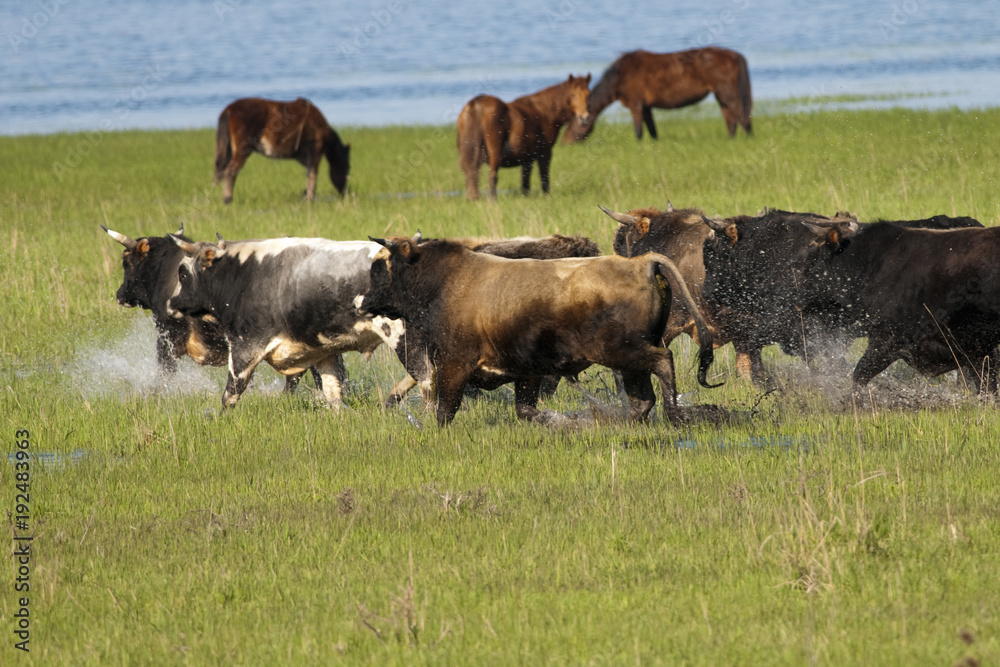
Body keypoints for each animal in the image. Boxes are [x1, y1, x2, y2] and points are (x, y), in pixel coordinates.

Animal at [168, 237, 402, 410]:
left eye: (183, 273)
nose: (171, 303)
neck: (240, 277)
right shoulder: (324, 352)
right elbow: (333, 392)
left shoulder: (245, 346)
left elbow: (231, 393)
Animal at [213, 97, 350, 204]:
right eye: (346, 167)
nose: (345, 192)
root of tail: (229, 109)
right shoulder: (315, 150)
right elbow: (312, 175)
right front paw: (310, 198)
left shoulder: (304, 156)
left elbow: (308, 173)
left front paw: (305, 195)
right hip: (242, 151)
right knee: (230, 172)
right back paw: (227, 199)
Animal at [460, 75, 592, 201]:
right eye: (572, 95)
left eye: (588, 94)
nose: (584, 118)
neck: (543, 112)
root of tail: (477, 103)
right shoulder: (544, 153)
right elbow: (544, 179)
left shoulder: (527, 159)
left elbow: (525, 184)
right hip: (494, 155)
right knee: (492, 177)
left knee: (470, 176)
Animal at [564, 49, 752, 144]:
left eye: (573, 124)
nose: (564, 143)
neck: (620, 75)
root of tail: (736, 55)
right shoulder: (646, 107)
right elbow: (652, 130)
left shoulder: (636, 104)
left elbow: (638, 131)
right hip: (721, 97)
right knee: (731, 121)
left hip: (728, 95)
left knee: (742, 117)